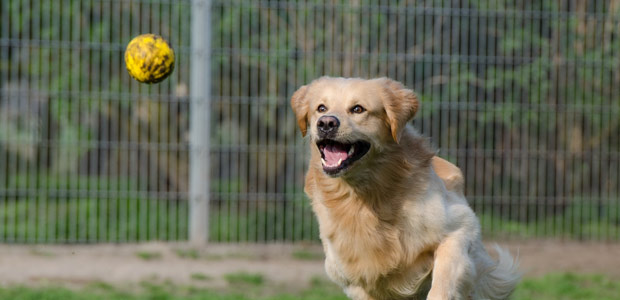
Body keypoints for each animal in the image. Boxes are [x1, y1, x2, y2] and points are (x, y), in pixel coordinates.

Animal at [290, 77, 520, 300]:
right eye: (321, 108)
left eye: (358, 109)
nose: (326, 123)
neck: (367, 195)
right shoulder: (355, 280)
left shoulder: (460, 228)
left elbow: (442, 283)